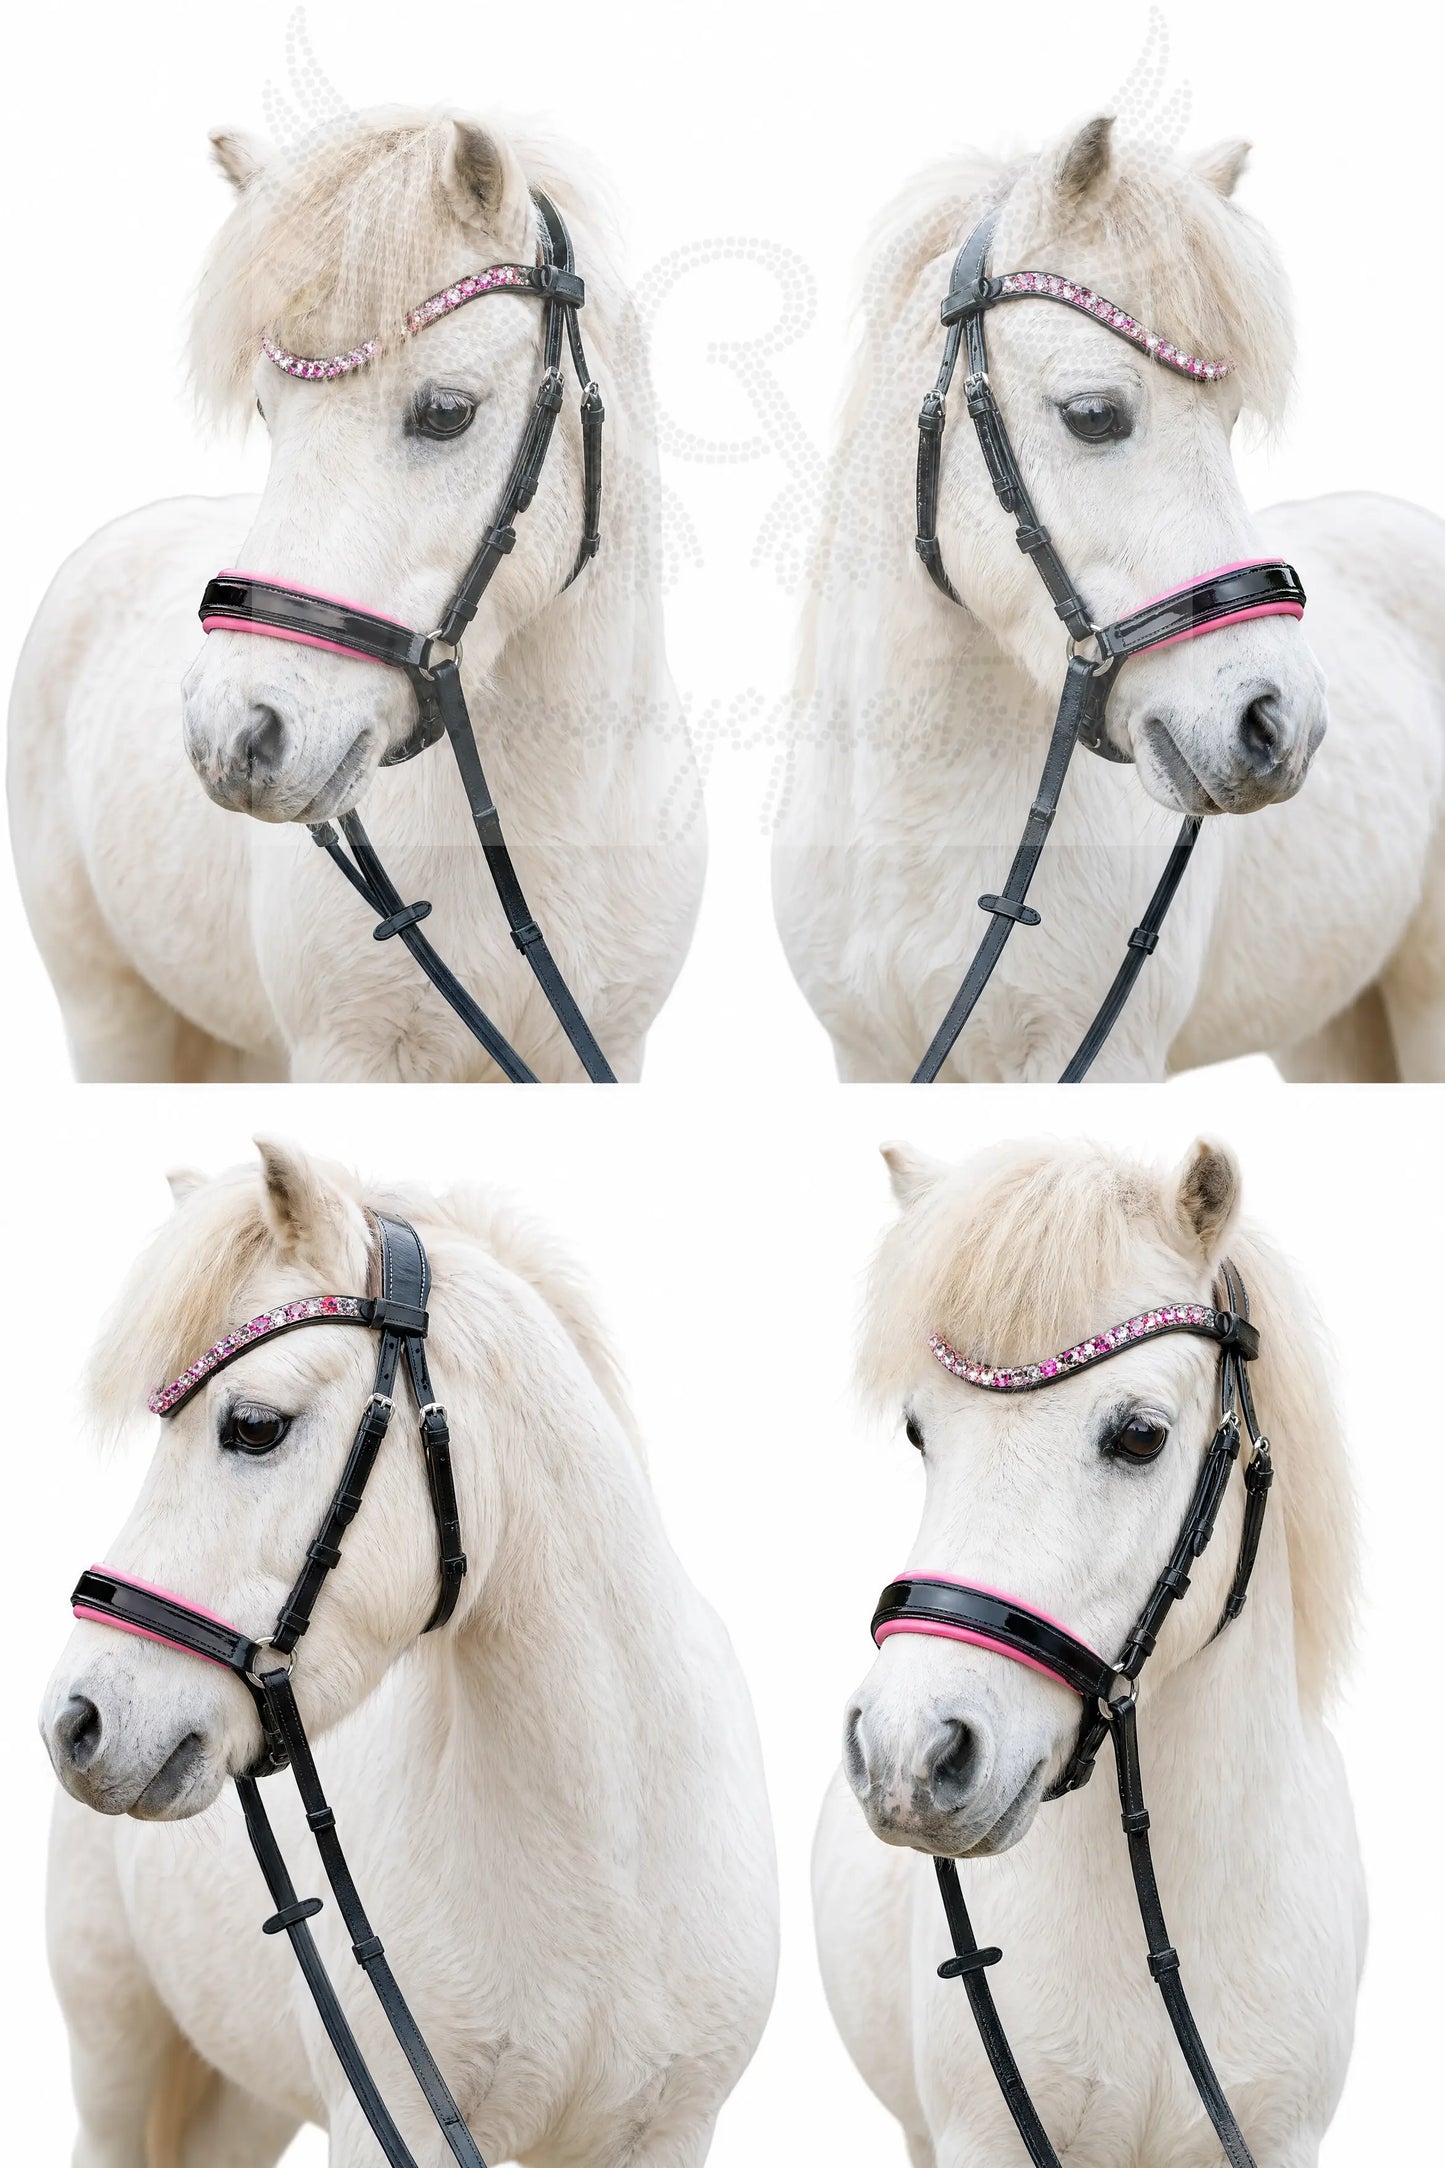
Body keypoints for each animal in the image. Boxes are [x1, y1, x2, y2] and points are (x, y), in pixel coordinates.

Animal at [41, 1139, 777, 2164]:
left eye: (254, 1426)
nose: (79, 1721)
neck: (608, 1850)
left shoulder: (665, 2132)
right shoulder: (390, 2120)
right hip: (116, 2054)